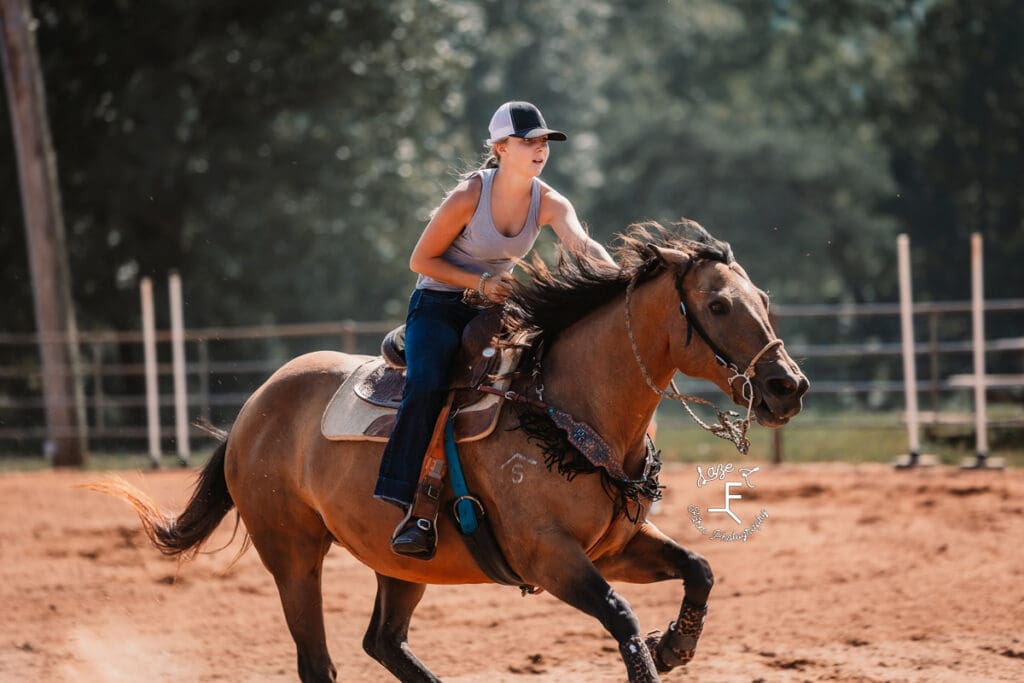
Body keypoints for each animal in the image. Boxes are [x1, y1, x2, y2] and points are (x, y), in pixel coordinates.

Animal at [96, 222, 806, 679]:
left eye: (765, 300)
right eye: (719, 305)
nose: (788, 386)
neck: (566, 412)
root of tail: (252, 409)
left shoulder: (618, 547)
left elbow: (699, 568)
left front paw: (676, 647)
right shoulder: (550, 558)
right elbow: (623, 620)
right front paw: (658, 649)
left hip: (397, 562)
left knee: (383, 643)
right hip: (292, 556)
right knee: (318, 661)